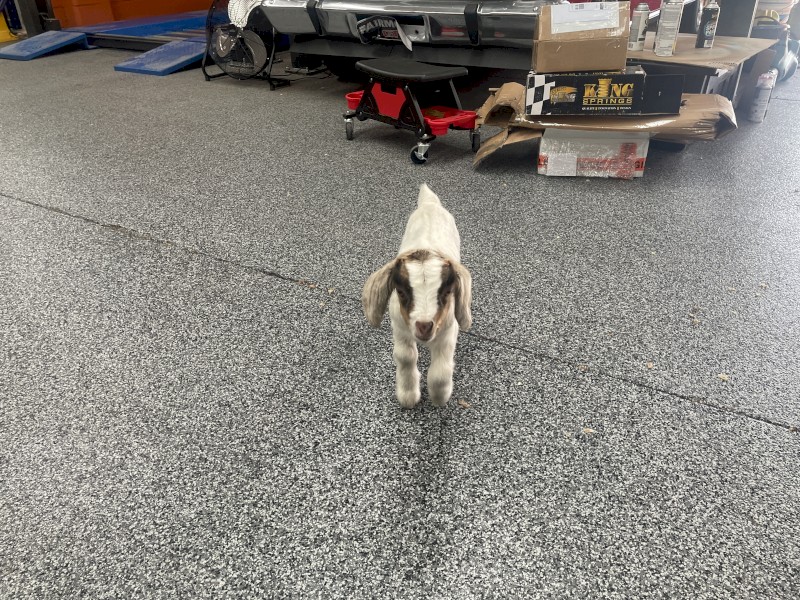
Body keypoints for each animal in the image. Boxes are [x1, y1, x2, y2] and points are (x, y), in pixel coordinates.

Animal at [362, 184, 472, 408]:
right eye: (401, 291)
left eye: (447, 291)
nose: (424, 326)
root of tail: (430, 203)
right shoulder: (400, 327)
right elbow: (406, 357)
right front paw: (408, 396)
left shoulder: (449, 330)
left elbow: (440, 371)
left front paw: (439, 397)